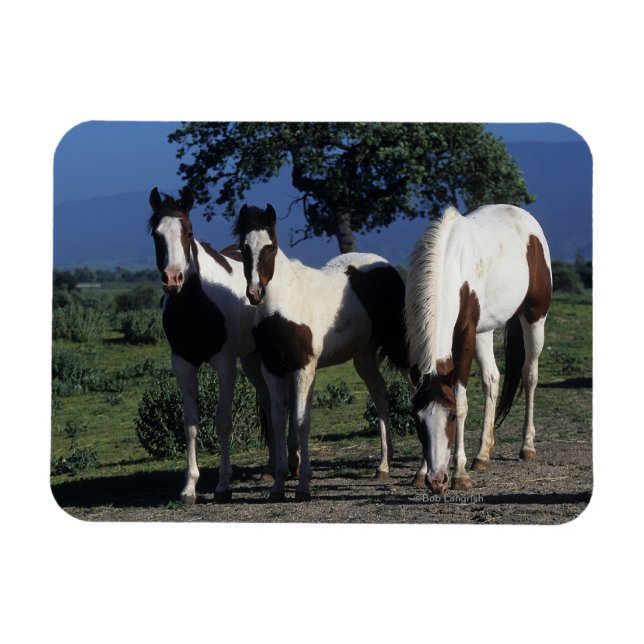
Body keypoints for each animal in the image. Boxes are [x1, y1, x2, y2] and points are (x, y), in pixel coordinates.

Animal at [148, 186, 284, 504]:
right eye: (156, 234)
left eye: (188, 231)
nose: (173, 279)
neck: (196, 307)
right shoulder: (183, 364)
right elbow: (190, 424)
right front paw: (189, 487)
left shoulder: (224, 364)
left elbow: (223, 421)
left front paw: (223, 485)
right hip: (251, 360)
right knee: (267, 404)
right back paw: (271, 469)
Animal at [233, 203, 411, 501]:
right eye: (243, 248)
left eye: (270, 247)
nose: (255, 293)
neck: (283, 304)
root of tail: (385, 266)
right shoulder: (272, 369)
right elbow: (278, 421)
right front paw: (278, 485)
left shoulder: (304, 368)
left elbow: (301, 421)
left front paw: (303, 485)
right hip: (363, 357)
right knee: (381, 396)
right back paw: (384, 466)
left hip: (400, 347)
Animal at [405, 204, 552, 493]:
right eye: (417, 419)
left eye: (451, 417)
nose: (437, 480)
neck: (448, 265)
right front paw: (421, 470)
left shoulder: (465, 334)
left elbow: (461, 400)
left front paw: (460, 474)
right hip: (485, 331)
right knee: (491, 379)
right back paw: (482, 455)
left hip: (534, 319)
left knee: (530, 375)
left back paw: (527, 446)